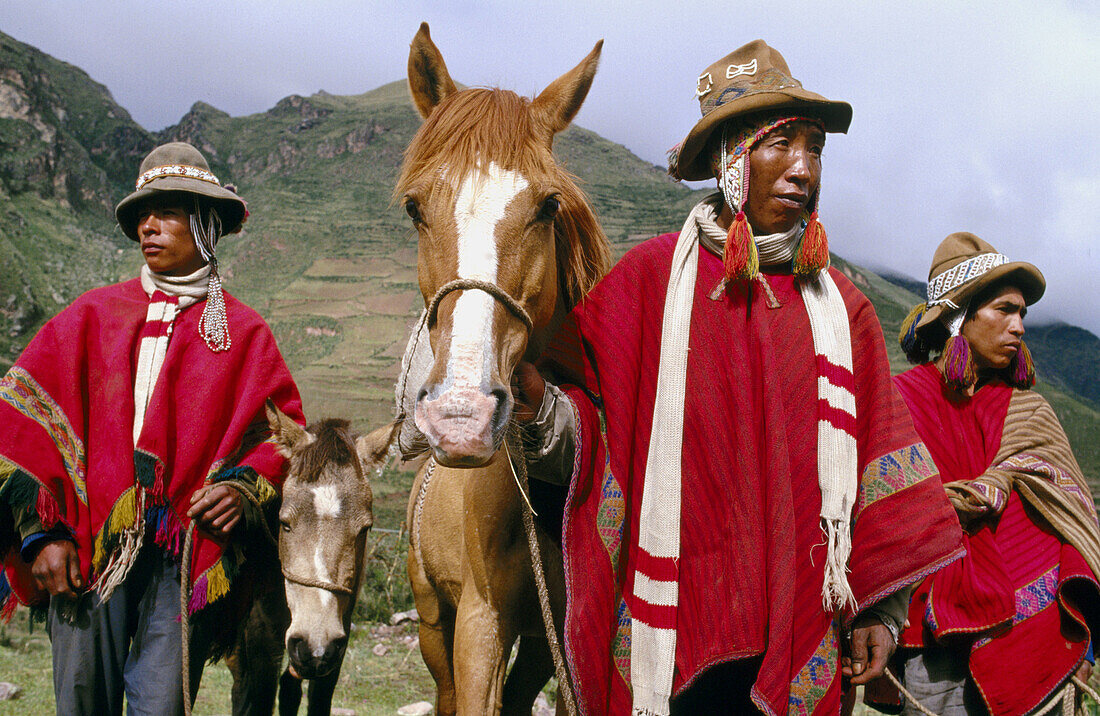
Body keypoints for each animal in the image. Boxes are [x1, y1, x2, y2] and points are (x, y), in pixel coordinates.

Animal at [400, 22, 616, 716]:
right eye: (414, 207)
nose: (460, 416)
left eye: (548, 206)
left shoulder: (571, 641)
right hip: (432, 619)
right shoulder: (479, 621)